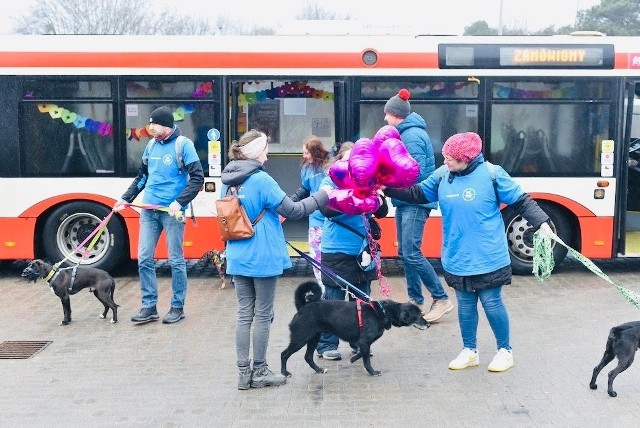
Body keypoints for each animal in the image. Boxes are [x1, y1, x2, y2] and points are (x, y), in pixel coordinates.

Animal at [282, 282, 428, 376]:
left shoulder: (364, 343)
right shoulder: (364, 341)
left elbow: (362, 354)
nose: (428, 325)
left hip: (313, 338)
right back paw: (285, 373)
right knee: (284, 354)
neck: (383, 312)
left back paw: (319, 370)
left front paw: (353, 359)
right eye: (418, 316)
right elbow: (367, 360)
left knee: (308, 357)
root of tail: (302, 307)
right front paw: (372, 372)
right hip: (300, 339)